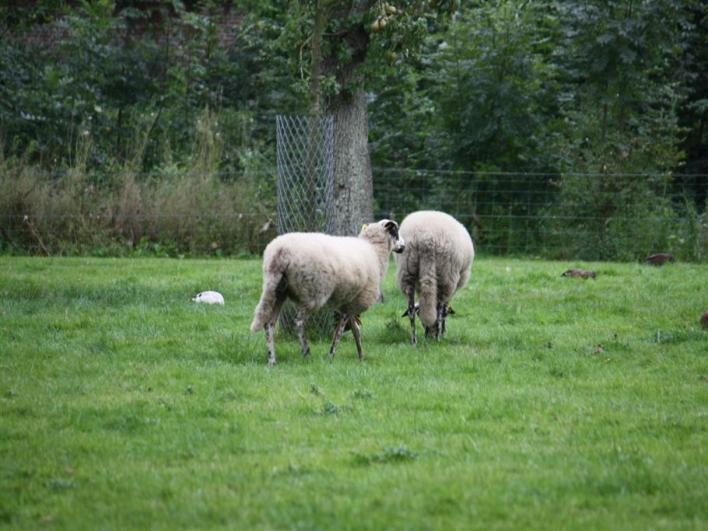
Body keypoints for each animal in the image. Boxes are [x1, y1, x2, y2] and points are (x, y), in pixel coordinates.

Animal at [249, 220, 404, 366]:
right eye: (395, 231)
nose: (403, 246)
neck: (374, 251)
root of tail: (279, 252)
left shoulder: (349, 303)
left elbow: (356, 330)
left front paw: (361, 356)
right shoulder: (352, 303)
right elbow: (340, 331)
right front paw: (331, 355)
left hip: (278, 291)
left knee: (269, 324)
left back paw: (272, 360)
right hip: (313, 292)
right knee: (298, 321)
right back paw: (306, 351)